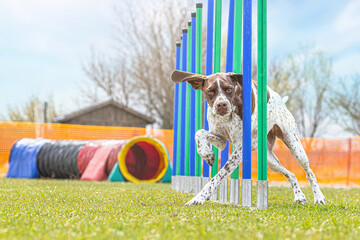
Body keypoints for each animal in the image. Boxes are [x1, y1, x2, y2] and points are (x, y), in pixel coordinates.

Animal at [172, 70, 326, 206]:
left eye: (229, 89)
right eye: (210, 91)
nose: (222, 105)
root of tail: (280, 99)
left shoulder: (239, 150)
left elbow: (217, 177)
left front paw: (199, 198)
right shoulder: (220, 139)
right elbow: (199, 133)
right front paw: (207, 154)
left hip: (295, 147)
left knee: (309, 172)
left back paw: (319, 198)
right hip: (269, 160)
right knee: (290, 174)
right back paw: (299, 196)